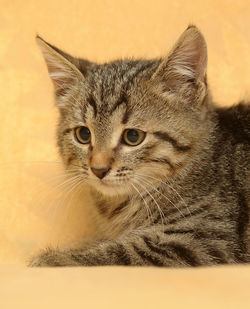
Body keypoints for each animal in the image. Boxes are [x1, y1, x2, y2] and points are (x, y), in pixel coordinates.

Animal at [29, 25, 250, 266]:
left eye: (133, 136)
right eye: (84, 134)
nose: (98, 169)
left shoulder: (204, 239)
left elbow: (120, 252)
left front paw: (52, 258)